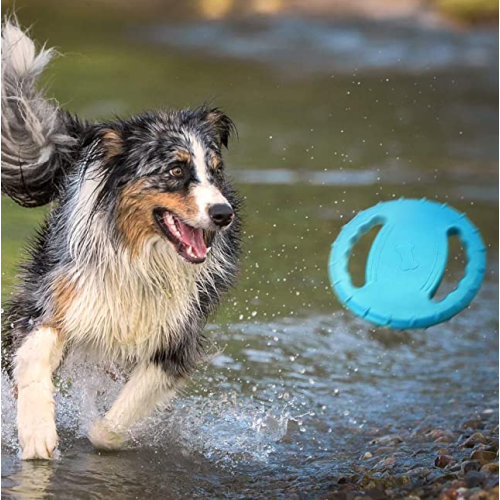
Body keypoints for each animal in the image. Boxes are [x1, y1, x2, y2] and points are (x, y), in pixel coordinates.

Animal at [0, 19, 242, 458]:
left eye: (215, 170)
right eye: (176, 170)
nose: (223, 215)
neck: (141, 255)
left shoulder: (175, 338)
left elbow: (111, 426)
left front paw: (99, 428)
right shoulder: (52, 300)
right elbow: (33, 359)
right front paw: (37, 433)